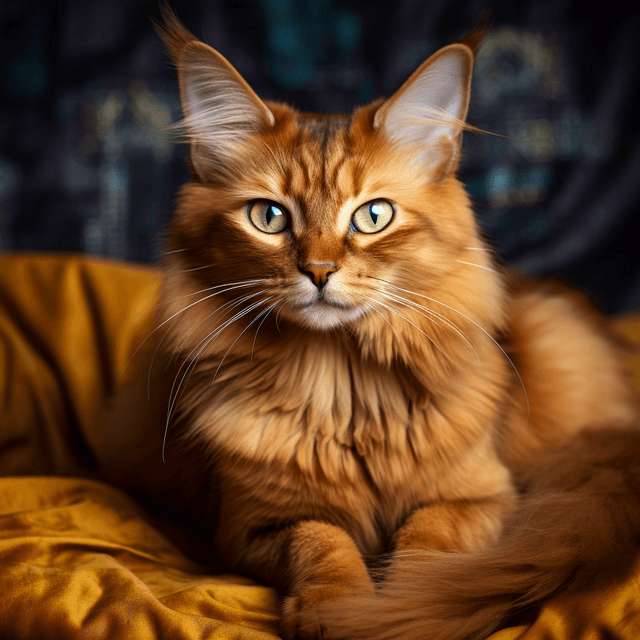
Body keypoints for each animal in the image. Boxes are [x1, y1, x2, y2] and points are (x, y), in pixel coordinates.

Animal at [95, 8, 640, 640]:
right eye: (269, 217)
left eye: (373, 215)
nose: (318, 271)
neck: (343, 385)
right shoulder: (254, 524)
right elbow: (323, 541)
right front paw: (338, 608)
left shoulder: (479, 499)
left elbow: (428, 546)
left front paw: (407, 605)